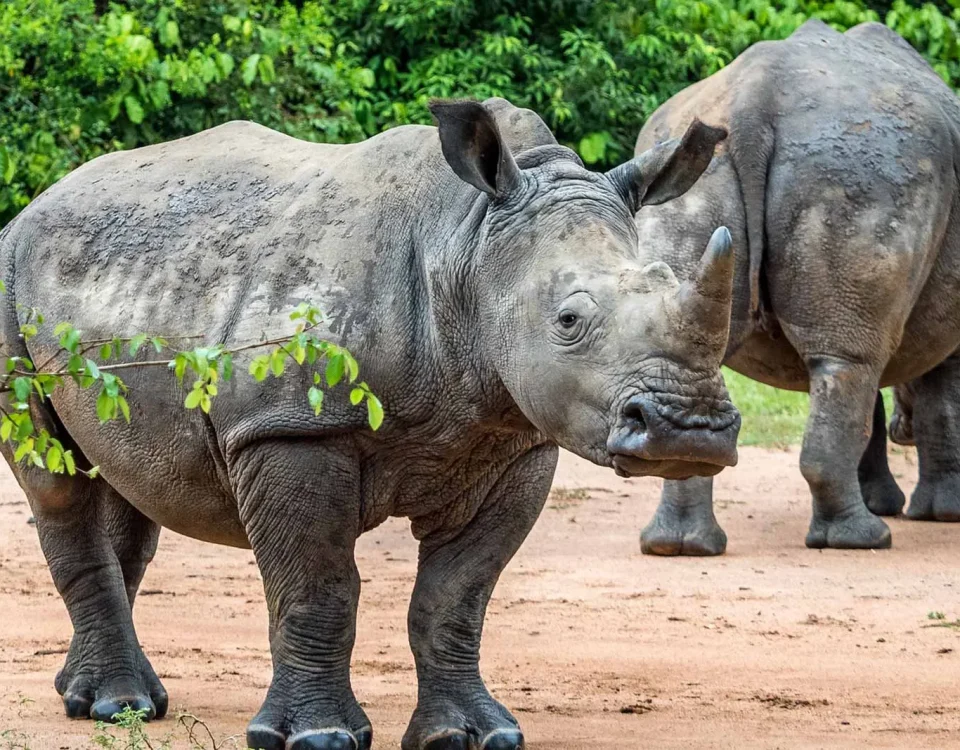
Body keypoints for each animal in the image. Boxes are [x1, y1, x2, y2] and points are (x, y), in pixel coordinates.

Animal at [0, 98, 739, 750]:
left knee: (128, 480)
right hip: (11, 281)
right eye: (568, 320)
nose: (689, 429)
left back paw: (98, 697)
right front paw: (319, 737)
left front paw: (473, 735)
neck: (468, 240)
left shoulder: (514, 443)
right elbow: (318, 586)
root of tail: (37, 206)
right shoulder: (292, 428)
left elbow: (456, 597)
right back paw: (115, 704)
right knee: (56, 482)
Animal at [630, 19, 960, 556]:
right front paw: (944, 514)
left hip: (689, 168)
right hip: (864, 168)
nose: (902, 430)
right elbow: (941, 398)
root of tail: (752, 102)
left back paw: (679, 547)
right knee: (849, 362)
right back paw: (863, 541)